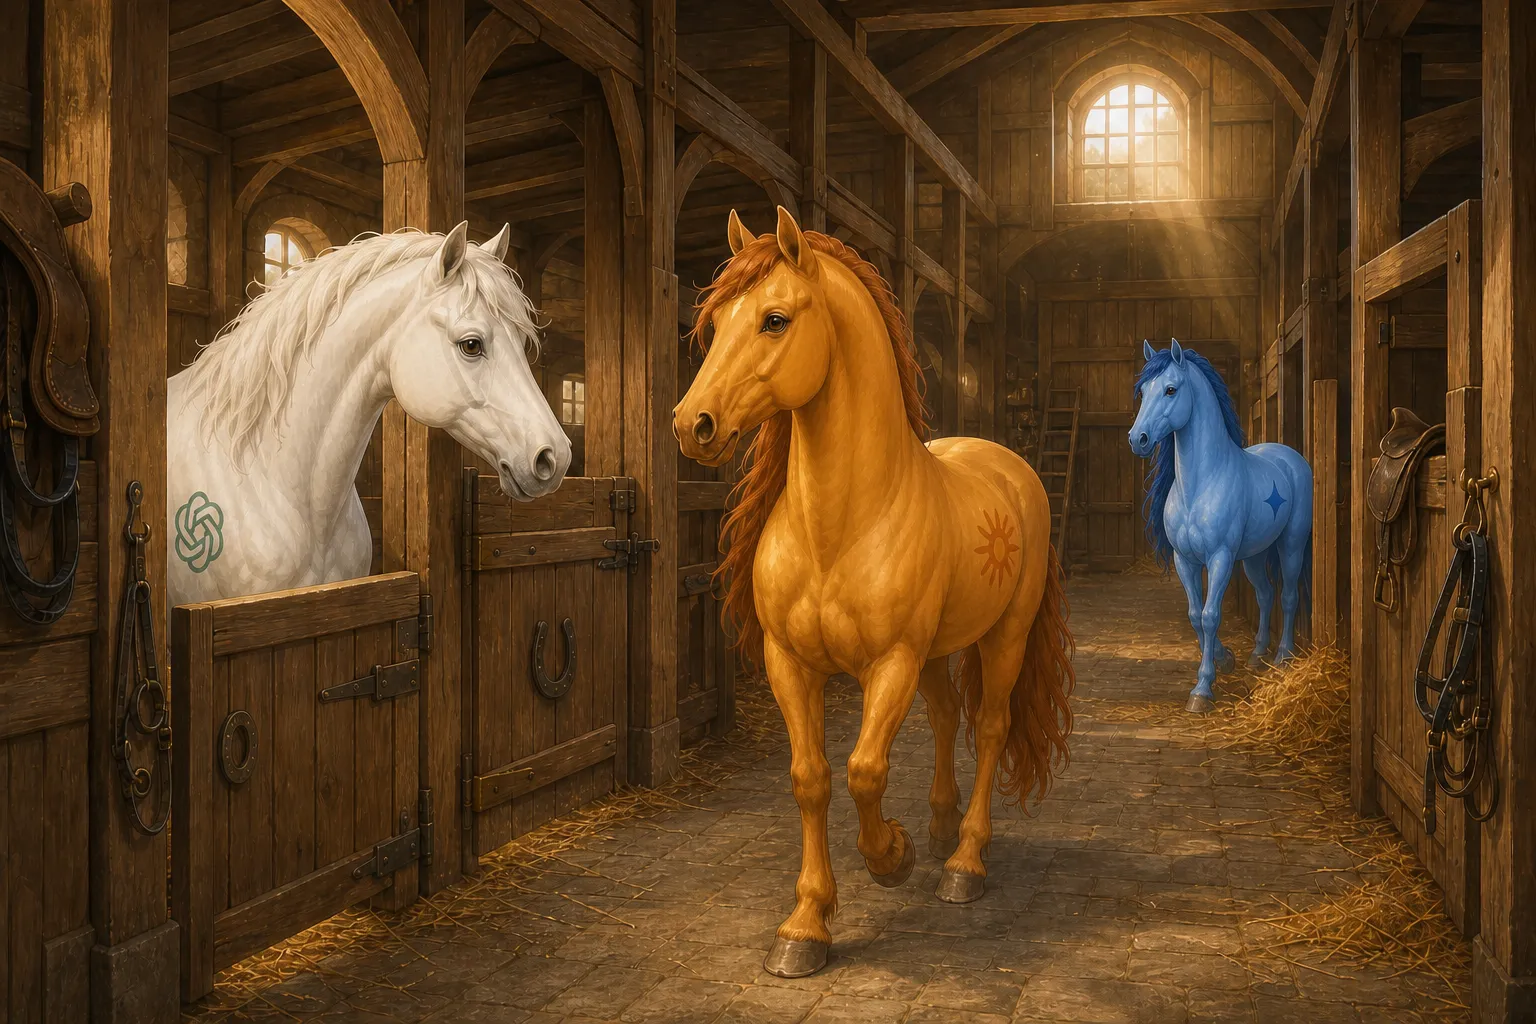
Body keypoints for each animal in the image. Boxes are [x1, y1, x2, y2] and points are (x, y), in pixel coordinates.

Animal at [674, 207, 1075, 979]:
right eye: (715, 323)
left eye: (774, 319)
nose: (692, 425)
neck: (841, 526)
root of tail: (1009, 465)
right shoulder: (791, 664)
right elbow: (812, 777)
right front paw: (804, 927)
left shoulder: (888, 663)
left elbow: (863, 770)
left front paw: (890, 857)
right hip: (936, 653)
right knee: (948, 718)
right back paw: (942, 826)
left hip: (1002, 636)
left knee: (989, 726)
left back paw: (964, 862)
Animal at [1128, 339, 1312, 713]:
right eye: (1142, 391)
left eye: (1171, 389)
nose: (1137, 439)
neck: (1200, 482)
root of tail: (1291, 458)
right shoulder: (1185, 560)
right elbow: (1194, 614)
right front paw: (1225, 659)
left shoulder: (1220, 557)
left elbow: (1211, 614)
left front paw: (1202, 690)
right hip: (1255, 555)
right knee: (1265, 594)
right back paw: (1257, 654)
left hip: (1291, 546)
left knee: (1287, 596)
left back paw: (1283, 657)